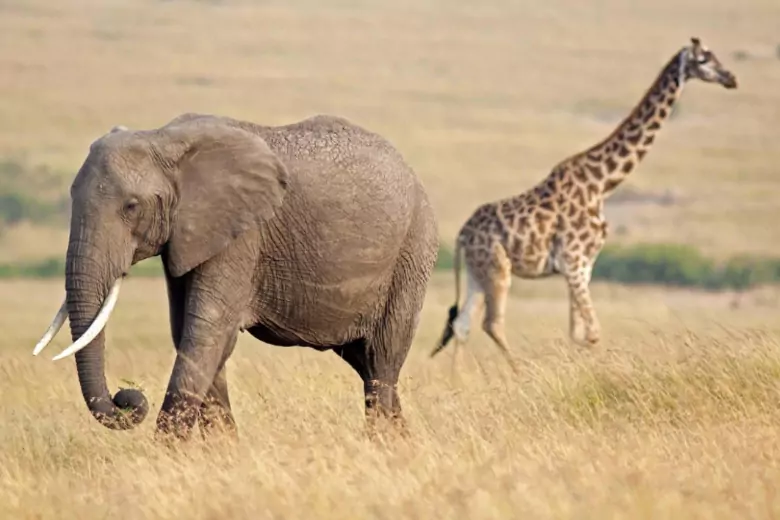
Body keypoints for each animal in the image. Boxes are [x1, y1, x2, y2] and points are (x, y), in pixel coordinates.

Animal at [32, 111, 438, 440]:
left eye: (131, 207)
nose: (126, 397)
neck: (163, 139)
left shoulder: (242, 235)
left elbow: (206, 330)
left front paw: (166, 458)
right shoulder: (188, 236)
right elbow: (191, 332)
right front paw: (224, 454)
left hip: (411, 253)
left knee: (381, 362)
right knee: (366, 364)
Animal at [432, 37, 736, 366]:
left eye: (715, 56)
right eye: (704, 59)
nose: (731, 78)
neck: (602, 185)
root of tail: (461, 235)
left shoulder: (584, 266)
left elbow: (577, 332)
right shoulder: (573, 261)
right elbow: (592, 332)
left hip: (477, 272)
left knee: (462, 324)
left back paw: (460, 378)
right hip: (498, 268)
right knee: (492, 323)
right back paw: (518, 371)